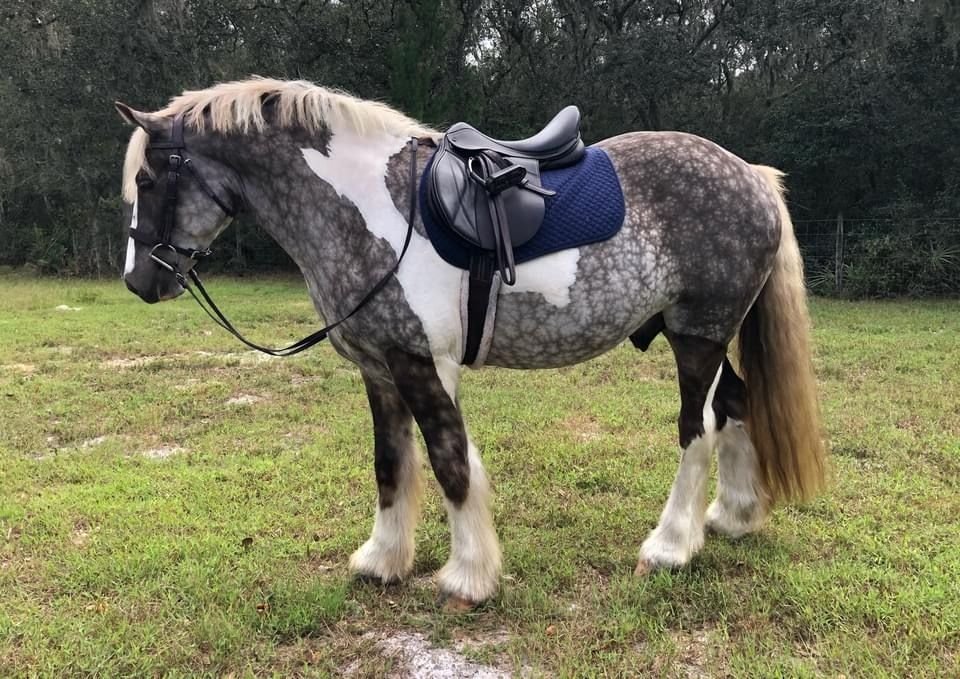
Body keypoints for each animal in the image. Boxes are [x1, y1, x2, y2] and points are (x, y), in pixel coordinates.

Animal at [116, 77, 826, 609]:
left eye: (148, 182)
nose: (138, 281)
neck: (371, 209)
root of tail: (752, 176)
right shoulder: (379, 369)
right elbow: (390, 463)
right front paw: (383, 560)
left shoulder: (422, 364)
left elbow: (450, 460)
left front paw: (469, 577)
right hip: (707, 338)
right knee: (735, 405)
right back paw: (733, 518)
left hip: (696, 338)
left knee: (697, 428)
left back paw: (672, 546)